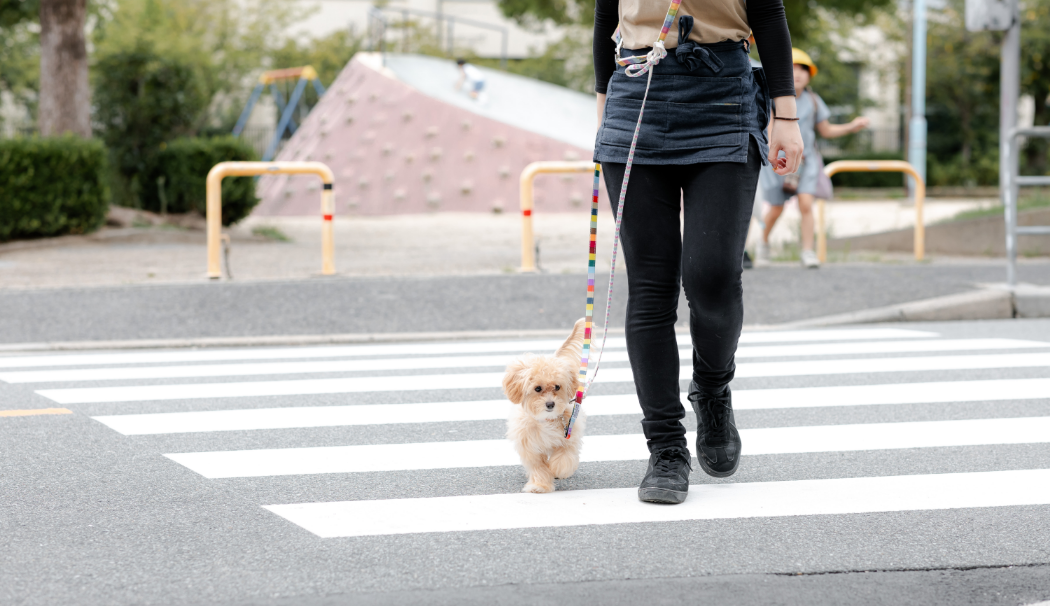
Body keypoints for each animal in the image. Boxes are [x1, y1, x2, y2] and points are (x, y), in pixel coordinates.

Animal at [501, 317, 588, 491]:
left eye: (557, 387)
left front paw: (557, 469)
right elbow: (538, 467)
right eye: (537, 388)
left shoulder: (569, 436)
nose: (550, 404)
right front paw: (539, 485)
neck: (546, 420)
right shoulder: (529, 446)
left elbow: (563, 457)